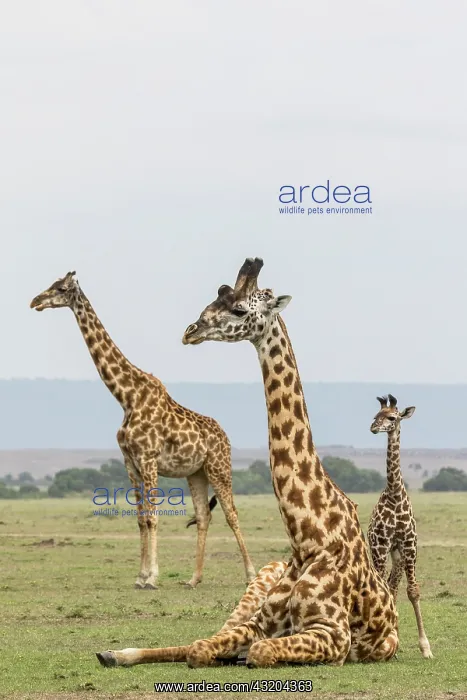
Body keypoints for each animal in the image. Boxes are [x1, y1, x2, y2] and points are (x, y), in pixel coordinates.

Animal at [30, 271, 255, 590]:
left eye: (60, 288)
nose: (35, 301)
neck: (127, 397)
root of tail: (225, 436)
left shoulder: (148, 459)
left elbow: (153, 517)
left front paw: (152, 577)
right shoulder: (130, 463)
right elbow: (140, 519)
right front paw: (140, 576)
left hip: (219, 467)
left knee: (232, 514)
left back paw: (251, 574)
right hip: (196, 473)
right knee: (203, 516)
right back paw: (194, 579)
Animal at [97, 257, 398, 668]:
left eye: (240, 309)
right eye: (215, 298)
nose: (190, 331)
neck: (308, 535)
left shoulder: (333, 635)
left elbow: (257, 652)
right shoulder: (260, 622)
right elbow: (198, 649)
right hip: (248, 597)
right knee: (197, 640)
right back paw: (115, 652)